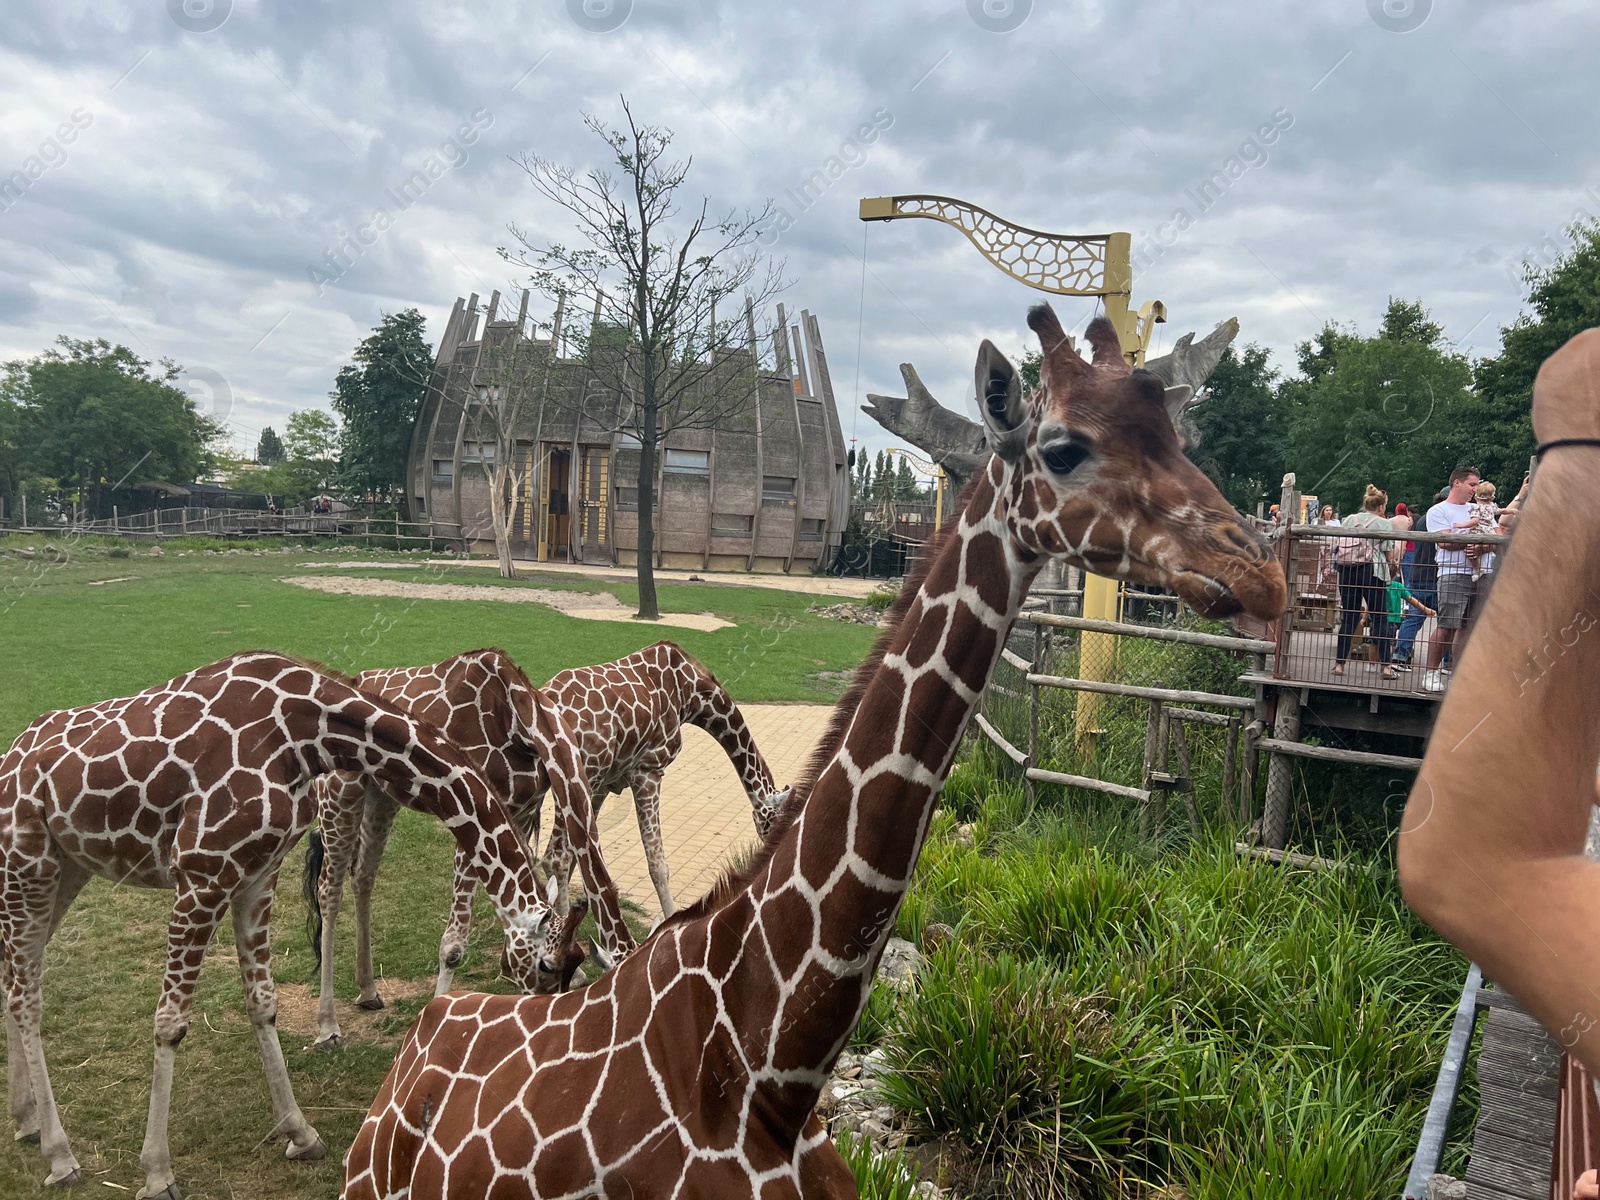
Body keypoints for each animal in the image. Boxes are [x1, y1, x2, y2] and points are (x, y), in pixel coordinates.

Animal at [0, 659, 556, 1200]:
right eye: (550, 965)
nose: (536, 1028)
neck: (308, 733)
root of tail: (10, 758)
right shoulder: (202, 873)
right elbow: (170, 1022)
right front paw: (157, 1173)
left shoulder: (258, 872)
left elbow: (262, 1003)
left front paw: (301, 1133)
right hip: (27, 862)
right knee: (27, 995)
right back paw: (60, 1155)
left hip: (68, 868)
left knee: (14, 977)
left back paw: (27, 1121)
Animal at [304, 649, 636, 1049]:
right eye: (546, 967)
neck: (522, 719)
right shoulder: (469, 814)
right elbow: (453, 946)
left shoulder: (519, 810)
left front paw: (506, 970)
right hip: (339, 791)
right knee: (329, 889)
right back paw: (328, 1026)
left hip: (381, 795)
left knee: (363, 874)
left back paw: (368, 991)